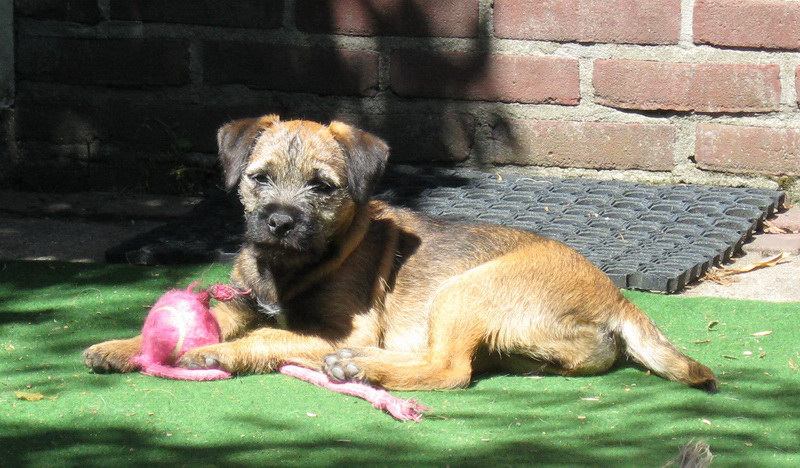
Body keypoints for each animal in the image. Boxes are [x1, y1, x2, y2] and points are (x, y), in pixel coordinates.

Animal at [83, 115, 717, 393]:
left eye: (322, 187)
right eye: (259, 179)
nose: (279, 223)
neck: (287, 267)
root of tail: (617, 297)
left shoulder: (343, 327)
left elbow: (265, 336)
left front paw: (214, 353)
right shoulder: (241, 303)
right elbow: (222, 320)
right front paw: (123, 346)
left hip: (464, 289)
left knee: (451, 370)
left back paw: (360, 368)